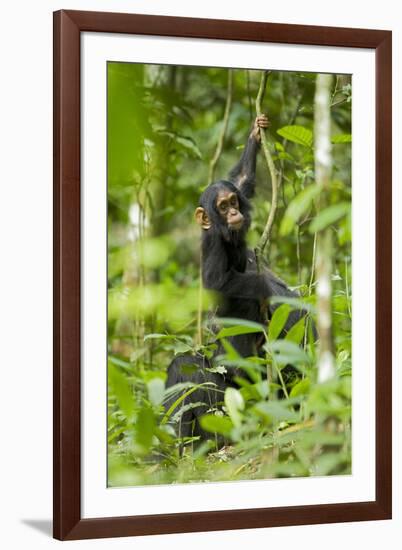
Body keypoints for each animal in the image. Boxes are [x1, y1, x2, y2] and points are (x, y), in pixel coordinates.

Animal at [165, 116, 306, 448]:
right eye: (222, 206)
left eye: (232, 201)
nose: (232, 211)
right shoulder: (215, 248)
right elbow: (219, 284)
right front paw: (265, 286)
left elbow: (242, 180)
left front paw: (255, 133)